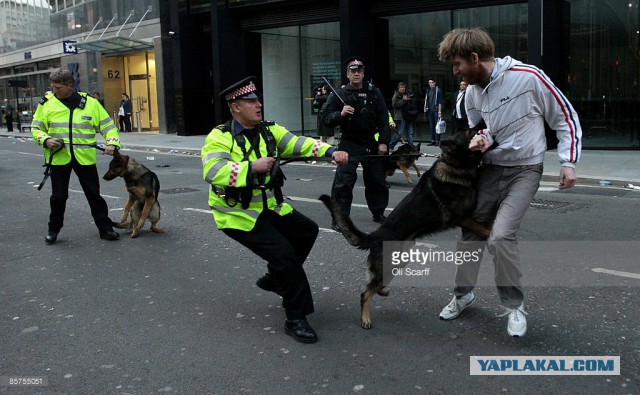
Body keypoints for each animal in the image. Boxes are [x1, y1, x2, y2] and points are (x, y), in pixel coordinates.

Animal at [320, 126, 490, 328]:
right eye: (468, 133)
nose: (481, 125)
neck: (455, 165)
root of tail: (376, 235)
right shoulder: (462, 217)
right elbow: (485, 228)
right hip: (390, 265)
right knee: (365, 293)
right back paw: (365, 318)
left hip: (399, 261)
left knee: (374, 286)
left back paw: (382, 292)